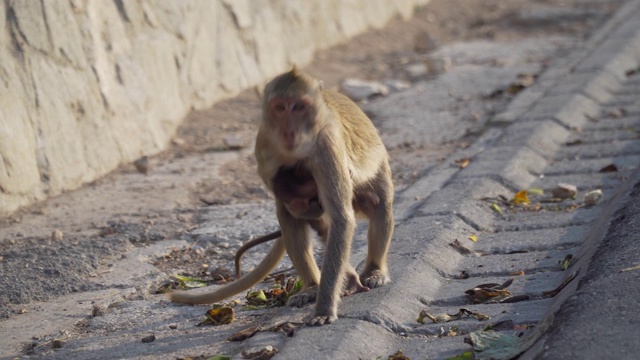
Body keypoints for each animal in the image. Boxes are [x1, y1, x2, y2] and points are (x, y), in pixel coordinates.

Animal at [168, 68, 392, 326]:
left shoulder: (326, 147)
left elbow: (341, 219)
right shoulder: (265, 150)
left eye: (299, 107)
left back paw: (374, 270)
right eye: (280, 108)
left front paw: (325, 306)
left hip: (378, 168)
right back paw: (311, 286)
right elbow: (299, 214)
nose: (289, 131)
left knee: (380, 205)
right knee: (289, 218)